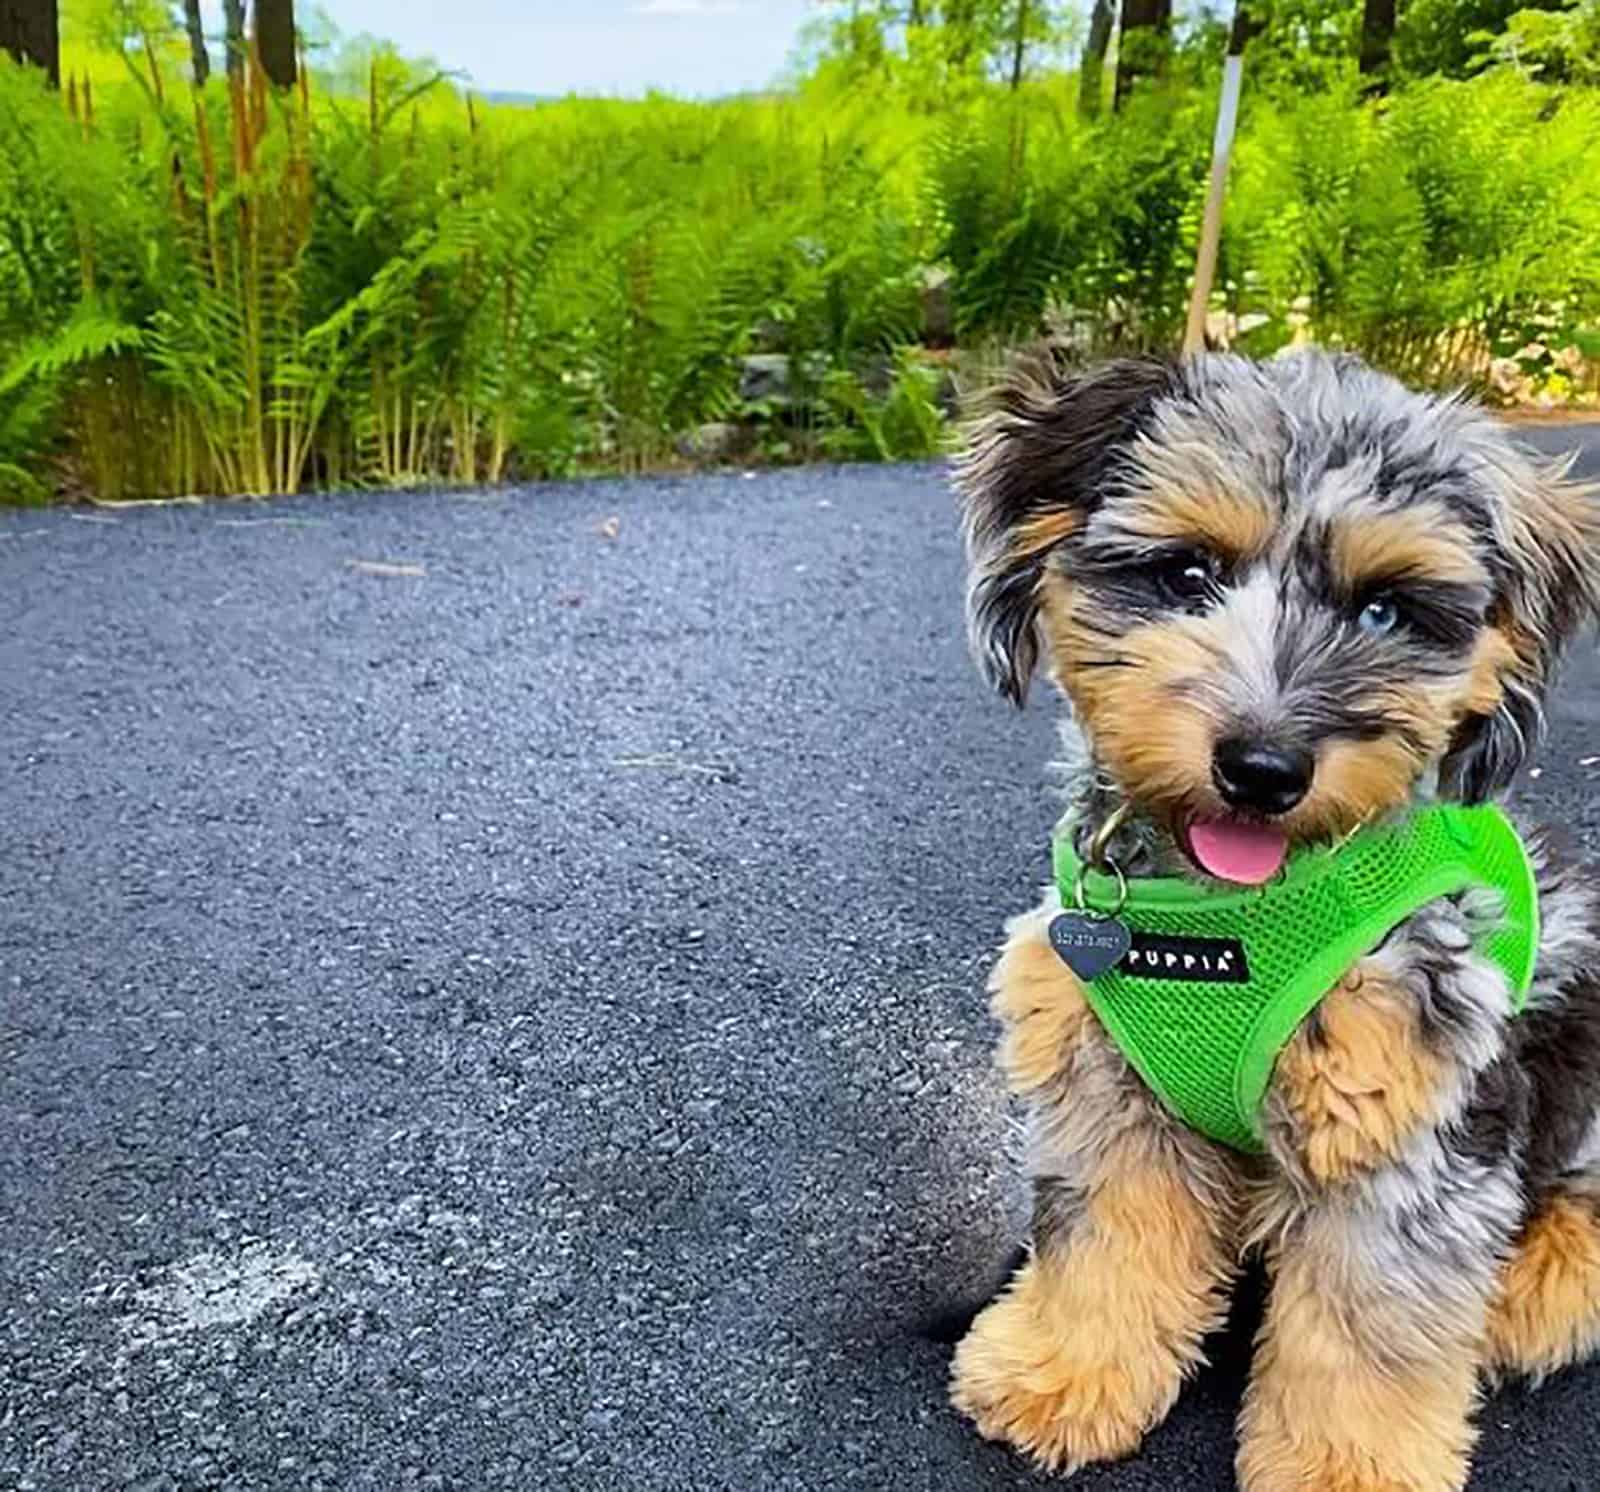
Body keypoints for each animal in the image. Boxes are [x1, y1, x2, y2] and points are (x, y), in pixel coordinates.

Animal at [940, 348, 1600, 1492]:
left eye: (1384, 611)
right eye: (1185, 575)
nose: (1262, 767)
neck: (1230, 915)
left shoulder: (1402, 1114)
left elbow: (1367, 1331)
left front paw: (1346, 1470)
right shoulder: (1109, 1089)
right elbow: (1104, 1240)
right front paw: (1061, 1369)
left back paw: (1535, 1288)